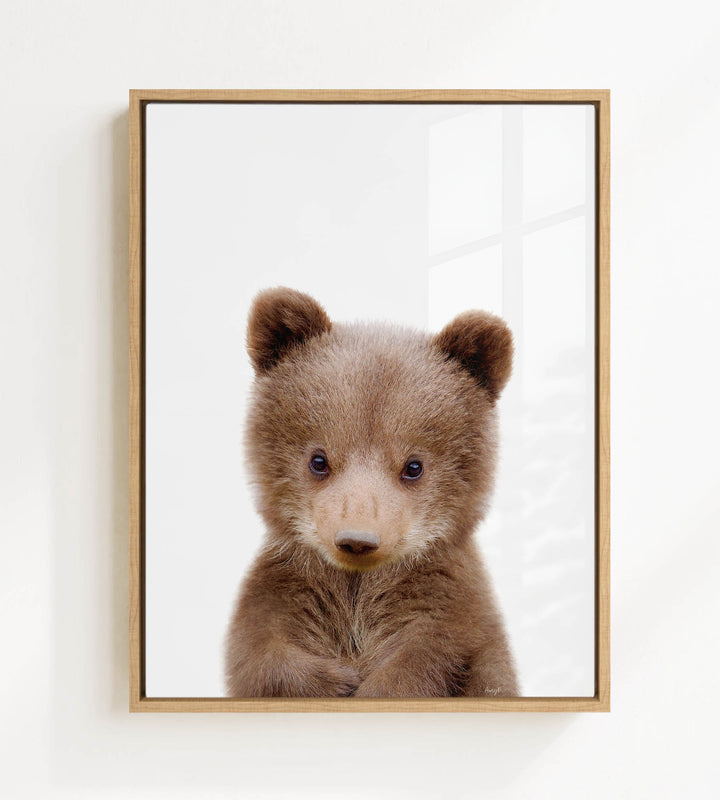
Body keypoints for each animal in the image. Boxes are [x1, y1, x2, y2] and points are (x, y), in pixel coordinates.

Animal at [224, 287, 519, 698]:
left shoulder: (447, 607)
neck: (356, 587)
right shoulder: (288, 587)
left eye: (414, 466)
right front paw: (338, 681)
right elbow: (261, 651)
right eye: (319, 460)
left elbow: (429, 657)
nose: (357, 539)